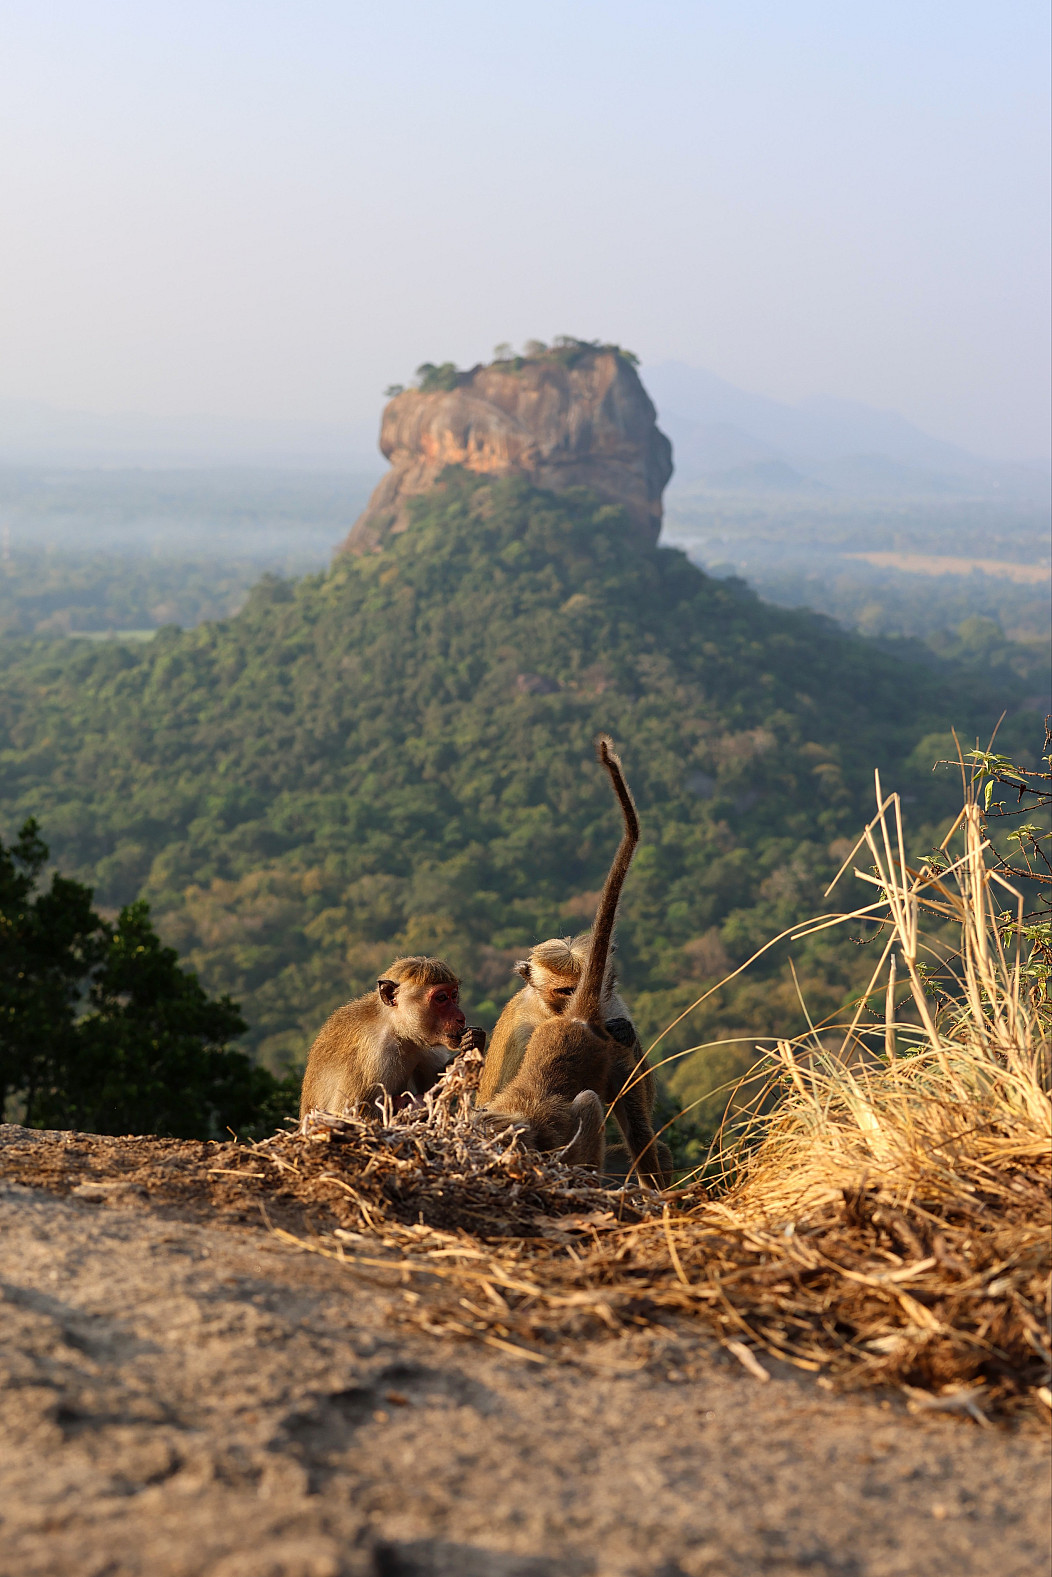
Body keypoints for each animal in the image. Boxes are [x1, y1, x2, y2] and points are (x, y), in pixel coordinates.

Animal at [299, 955, 486, 1119]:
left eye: (454, 995)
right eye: (441, 998)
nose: (461, 1017)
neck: (399, 1031)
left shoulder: (424, 1046)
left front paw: (473, 1043)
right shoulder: (375, 1057)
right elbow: (350, 1116)